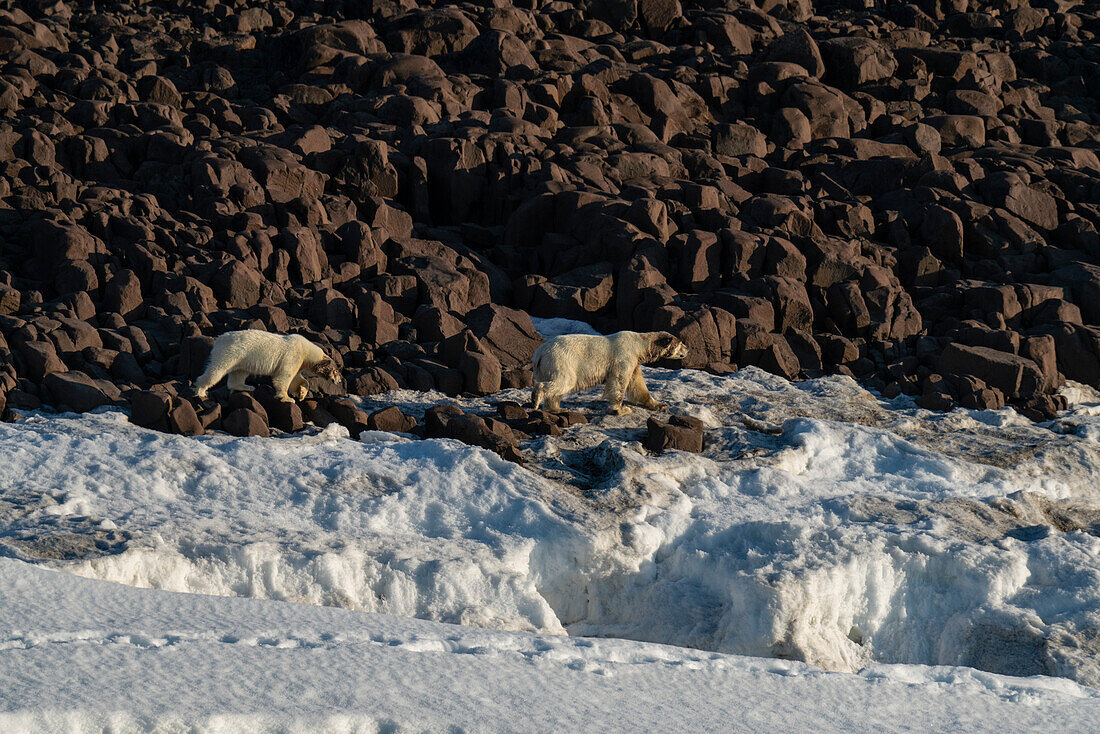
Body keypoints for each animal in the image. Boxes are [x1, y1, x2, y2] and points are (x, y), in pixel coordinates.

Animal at [191, 330, 341, 404]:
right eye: (336, 371)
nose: (339, 381)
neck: (306, 351)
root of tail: (219, 339)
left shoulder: (299, 362)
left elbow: (297, 378)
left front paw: (302, 393)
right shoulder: (293, 355)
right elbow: (284, 377)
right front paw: (287, 398)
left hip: (241, 359)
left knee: (239, 373)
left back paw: (247, 387)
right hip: (229, 352)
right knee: (216, 371)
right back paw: (201, 391)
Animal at [530, 332, 686, 415]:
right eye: (680, 343)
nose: (688, 349)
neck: (639, 343)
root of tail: (539, 353)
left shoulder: (635, 362)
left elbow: (638, 385)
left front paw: (660, 404)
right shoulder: (624, 357)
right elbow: (619, 381)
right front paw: (621, 409)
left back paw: (557, 408)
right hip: (562, 360)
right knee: (564, 381)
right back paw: (536, 399)